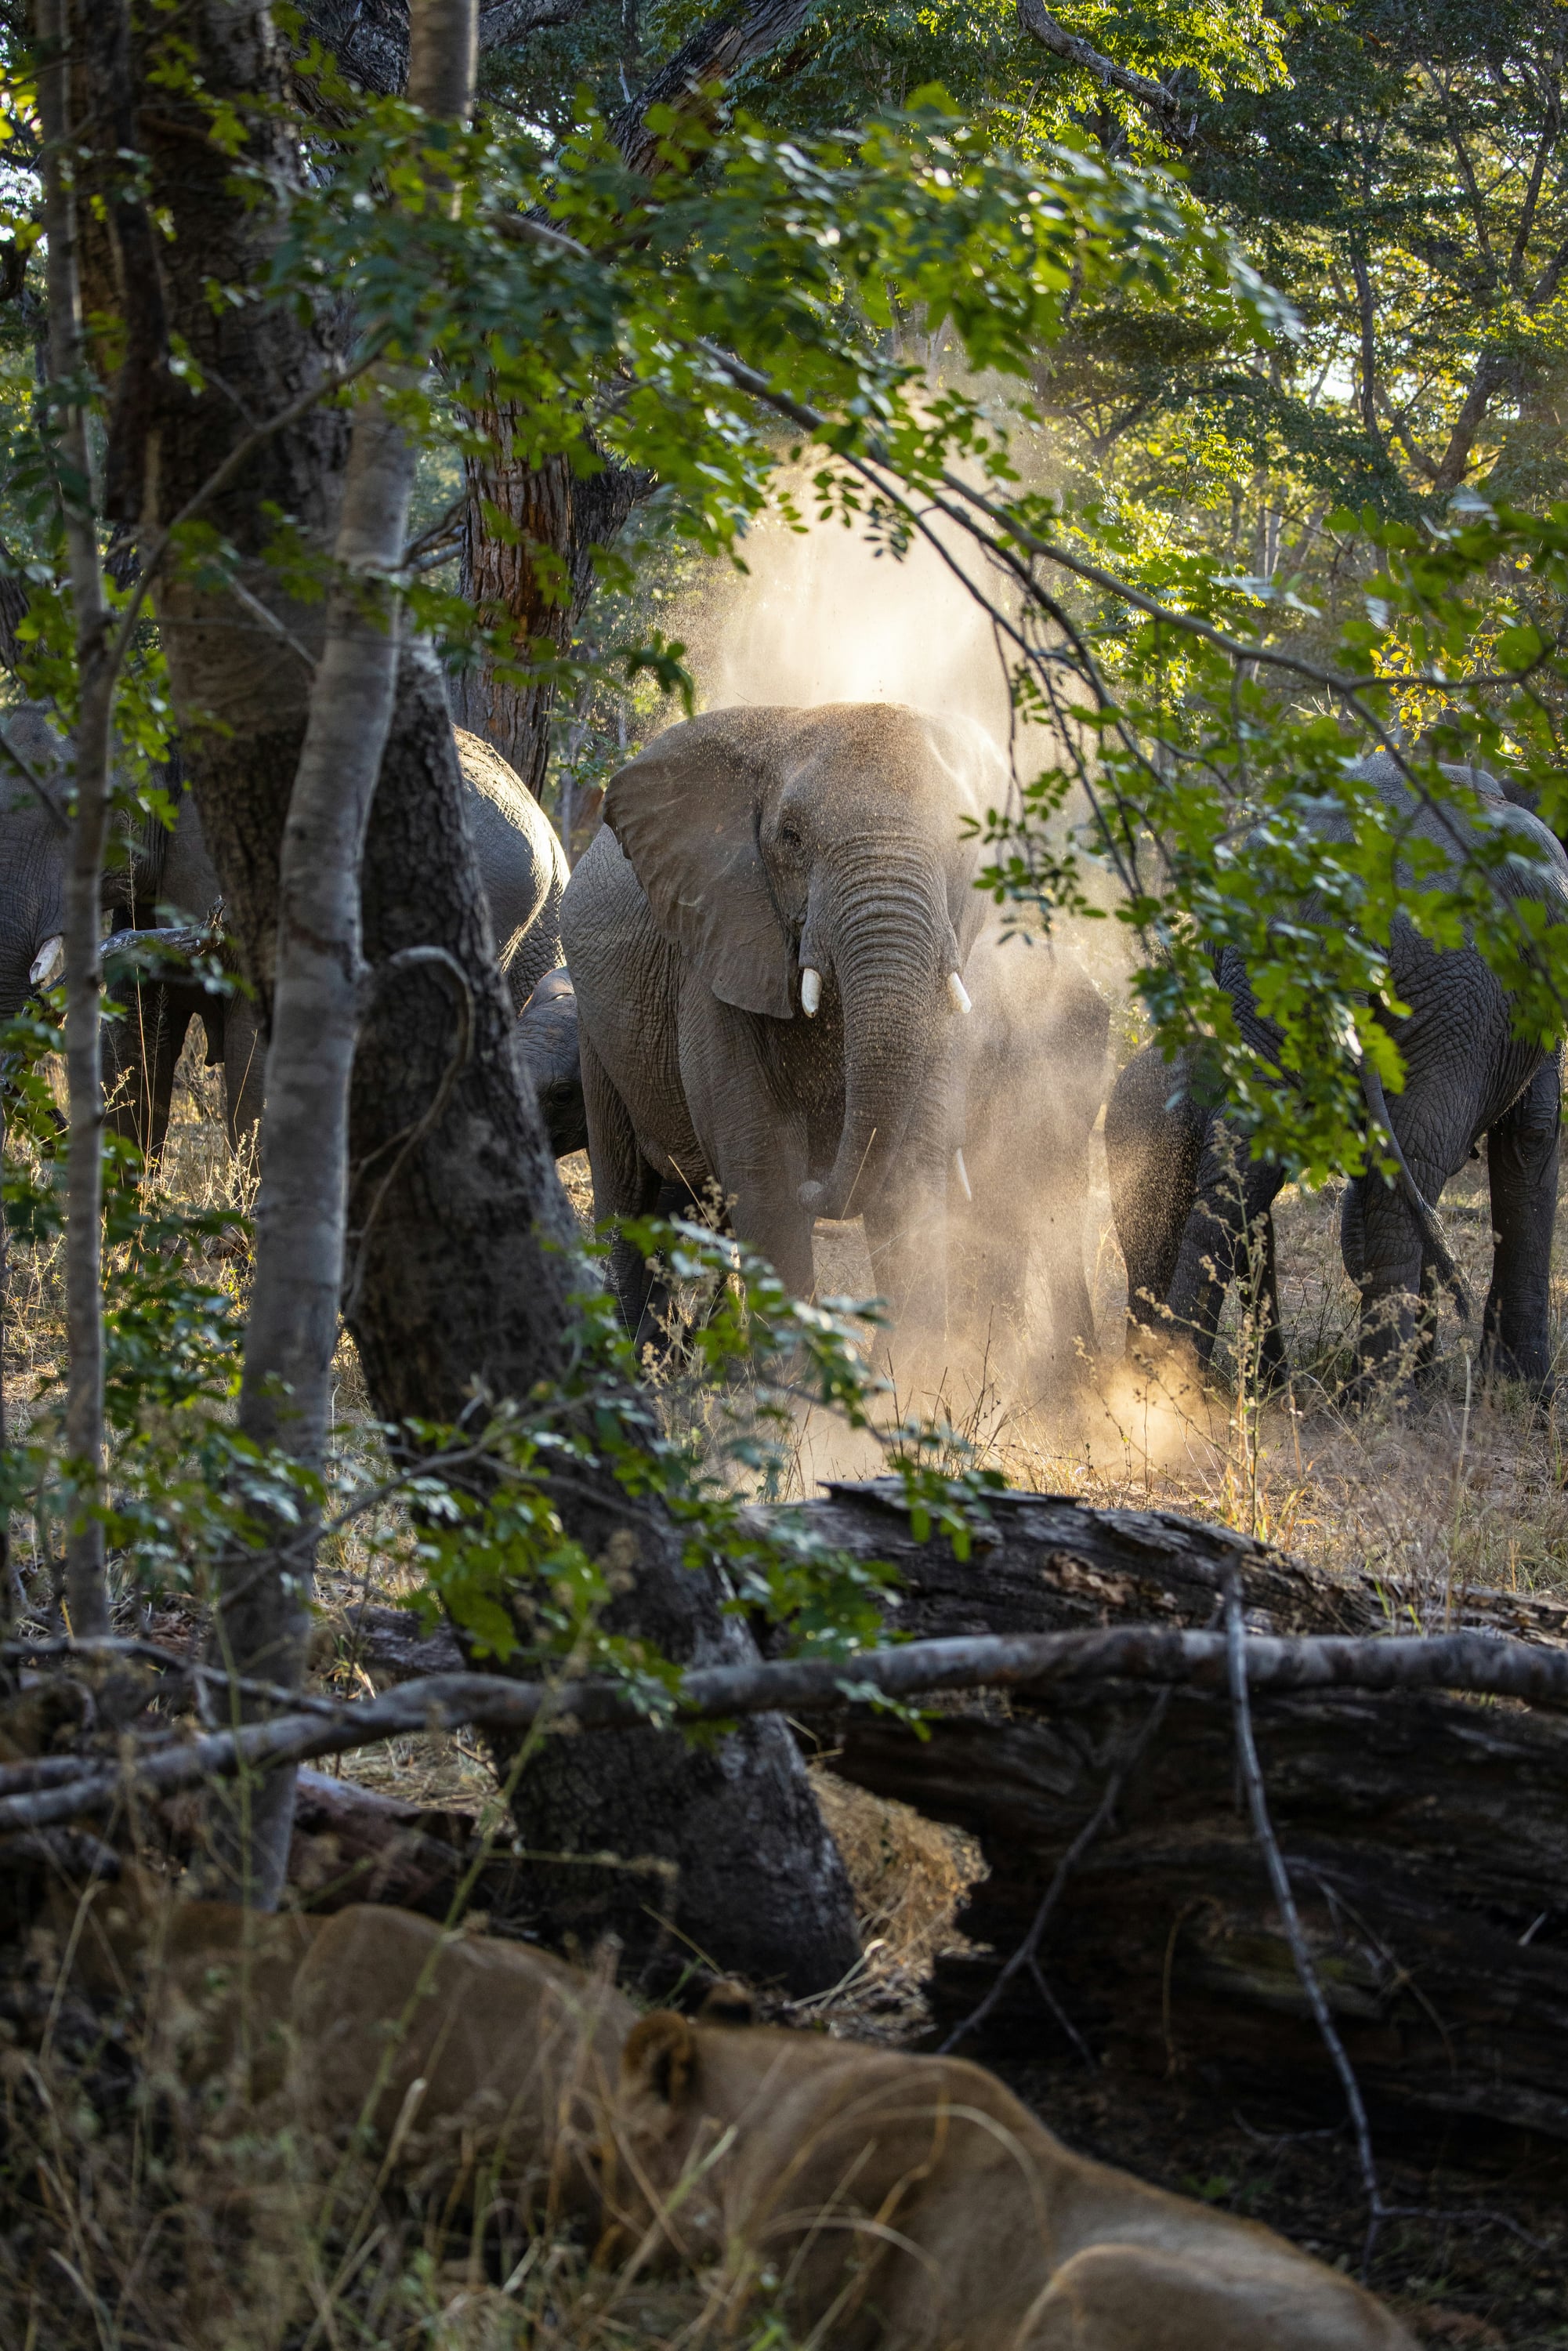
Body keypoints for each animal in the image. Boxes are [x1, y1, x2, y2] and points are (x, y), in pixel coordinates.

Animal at [560, 703, 998, 1346]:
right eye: (790, 837)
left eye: (960, 839)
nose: (819, 1183)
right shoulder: (720, 949)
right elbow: (766, 1178)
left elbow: (912, 1172)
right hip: (596, 1028)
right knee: (626, 1194)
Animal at [1105, 753, 1568, 1394]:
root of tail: (1347, 915)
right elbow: (1533, 1134)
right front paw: (1527, 1394)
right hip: (1460, 986)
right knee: (1414, 1161)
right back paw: (1386, 1401)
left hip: (1275, 963)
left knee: (1245, 1163)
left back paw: (1176, 1383)